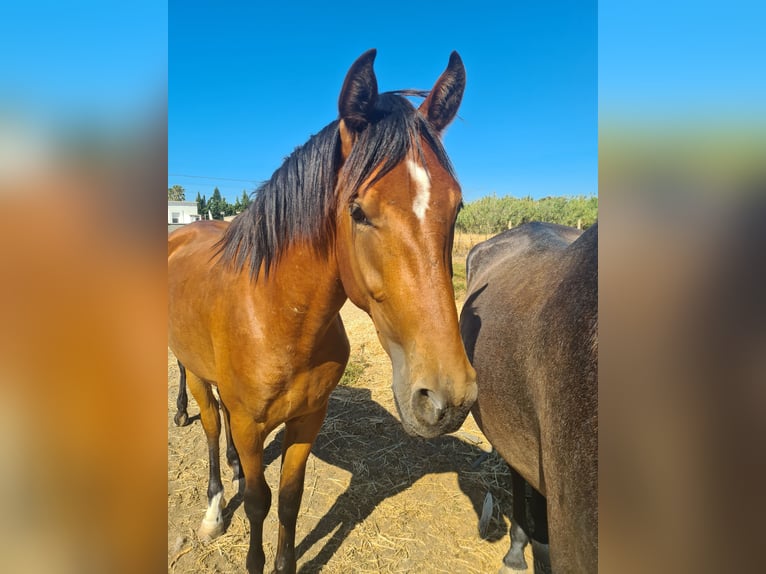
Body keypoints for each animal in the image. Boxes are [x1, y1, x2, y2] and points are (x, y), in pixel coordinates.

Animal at [170, 50, 474, 574]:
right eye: (358, 211)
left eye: (455, 207)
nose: (446, 399)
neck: (277, 318)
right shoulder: (250, 423)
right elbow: (258, 502)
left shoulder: (309, 419)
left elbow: (289, 500)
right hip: (196, 374)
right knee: (210, 427)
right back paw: (213, 506)